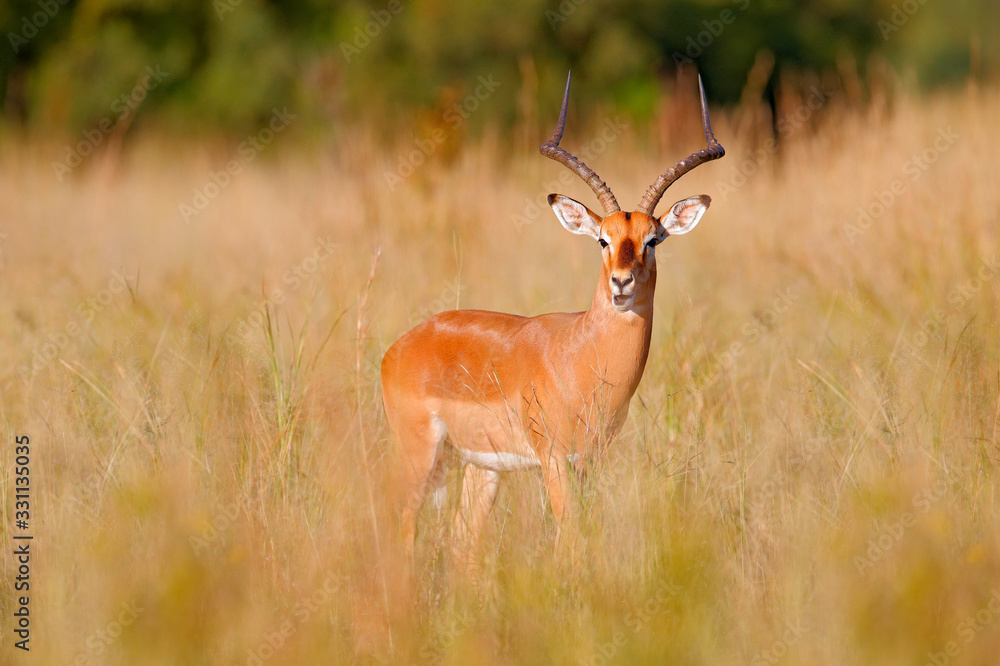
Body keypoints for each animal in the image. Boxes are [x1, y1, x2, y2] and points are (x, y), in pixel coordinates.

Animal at [381, 72, 724, 567]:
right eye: (602, 239)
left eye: (653, 239)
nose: (622, 283)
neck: (582, 356)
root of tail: (399, 347)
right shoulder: (555, 462)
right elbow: (571, 541)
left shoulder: (590, 463)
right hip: (421, 456)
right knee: (403, 528)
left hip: (480, 467)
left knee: (463, 543)